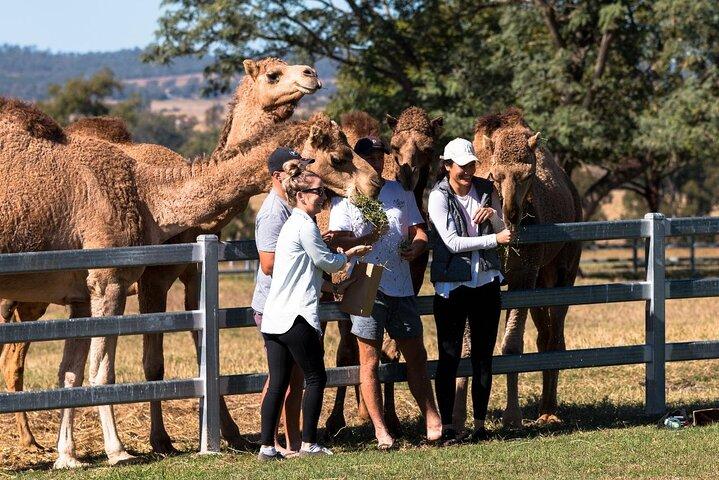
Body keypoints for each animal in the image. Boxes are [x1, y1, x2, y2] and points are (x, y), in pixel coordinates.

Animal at [0, 98, 381, 468]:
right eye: (339, 156)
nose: (374, 183)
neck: (147, 194)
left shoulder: (80, 293)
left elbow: (70, 373)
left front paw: (67, 456)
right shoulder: (109, 280)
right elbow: (101, 371)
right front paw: (118, 451)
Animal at [470, 108, 582, 427]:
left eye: (529, 175)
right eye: (495, 175)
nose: (512, 214)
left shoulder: (523, 275)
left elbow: (511, 346)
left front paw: (512, 416)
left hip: (564, 269)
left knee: (555, 336)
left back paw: (549, 411)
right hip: (542, 278)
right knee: (544, 336)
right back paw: (544, 409)